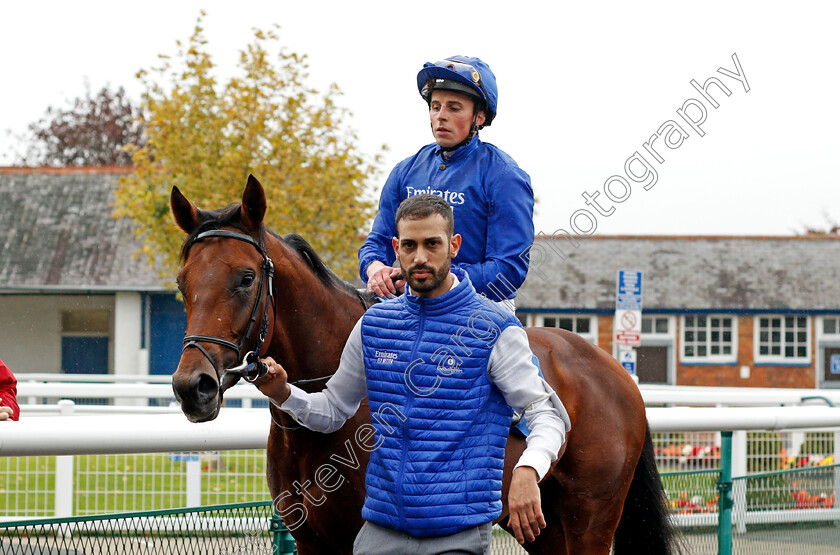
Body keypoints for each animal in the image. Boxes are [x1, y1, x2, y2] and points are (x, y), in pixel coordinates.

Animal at [169, 176, 676, 552]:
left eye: (245, 277)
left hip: (592, 516)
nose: (192, 386)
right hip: (539, 518)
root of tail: (617, 373)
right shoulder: (312, 540)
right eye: (181, 282)